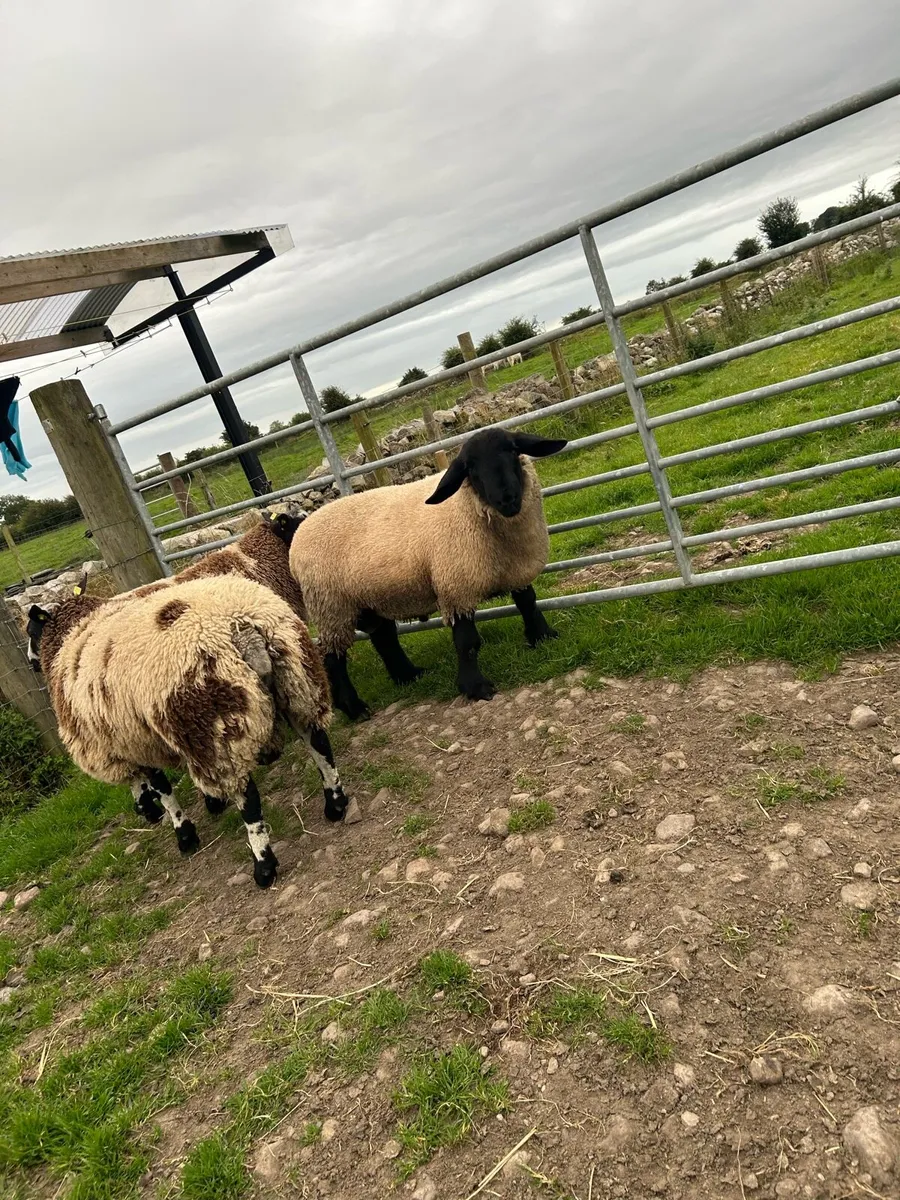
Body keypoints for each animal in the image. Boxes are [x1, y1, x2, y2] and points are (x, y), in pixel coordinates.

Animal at [26, 574, 350, 888]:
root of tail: (243, 627)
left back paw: (263, 866)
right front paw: (211, 802)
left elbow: (159, 787)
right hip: (298, 685)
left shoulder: (131, 739)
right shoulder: (141, 735)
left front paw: (181, 832)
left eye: (30, 631)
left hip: (215, 724)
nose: (31, 664)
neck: (71, 635)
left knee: (249, 800)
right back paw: (335, 805)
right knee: (320, 746)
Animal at [289, 426, 567, 720]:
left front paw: (543, 637)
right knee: (333, 658)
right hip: (332, 606)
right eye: (470, 468)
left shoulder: (517, 571)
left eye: (513, 450)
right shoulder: (456, 587)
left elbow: (528, 604)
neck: (468, 506)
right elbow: (467, 641)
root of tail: (298, 536)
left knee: (384, 638)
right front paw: (475, 687)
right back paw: (354, 707)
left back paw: (409, 675)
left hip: (366, 598)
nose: (507, 499)